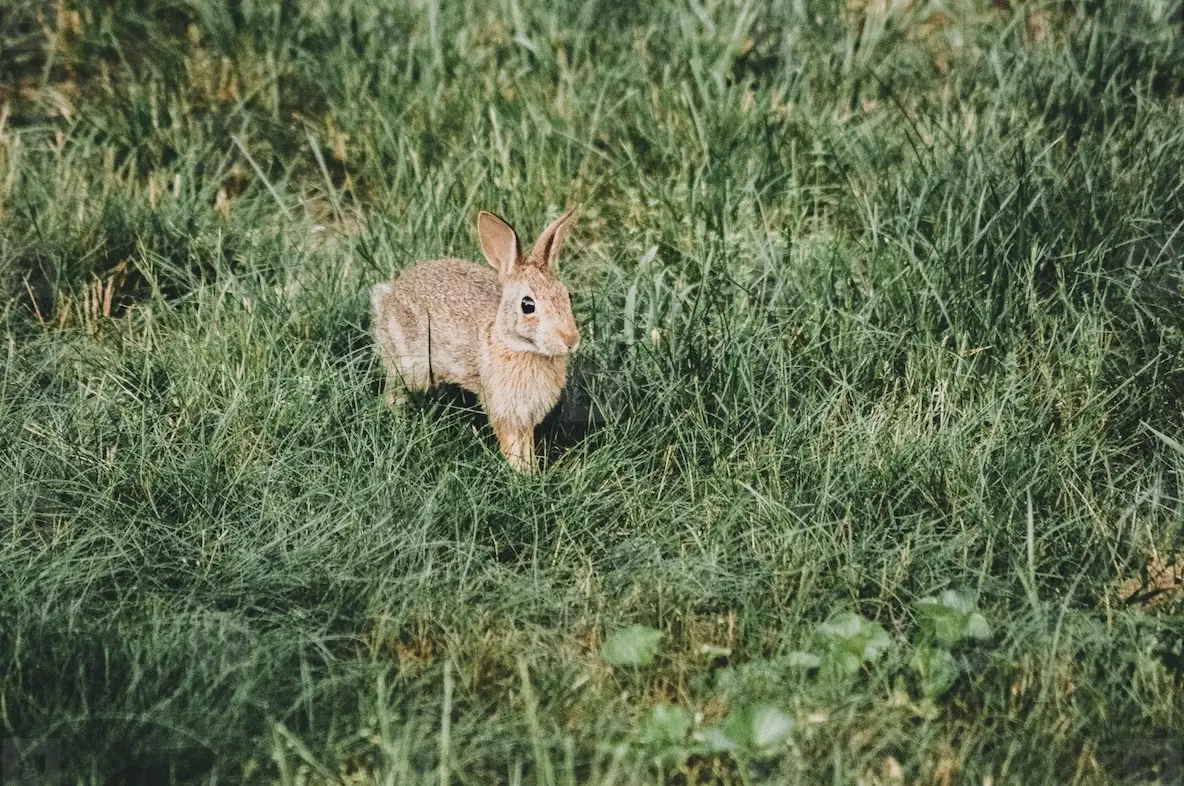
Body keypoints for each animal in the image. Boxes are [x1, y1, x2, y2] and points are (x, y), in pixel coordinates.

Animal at [371, 207, 581, 474]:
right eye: (527, 305)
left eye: (567, 296)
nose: (571, 340)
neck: (518, 345)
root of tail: (388, 296)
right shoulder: (504, 408)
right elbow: (511, 443)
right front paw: (520, 474)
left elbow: (526, 443)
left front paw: (532, 471)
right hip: (409, 360)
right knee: (394, 388)